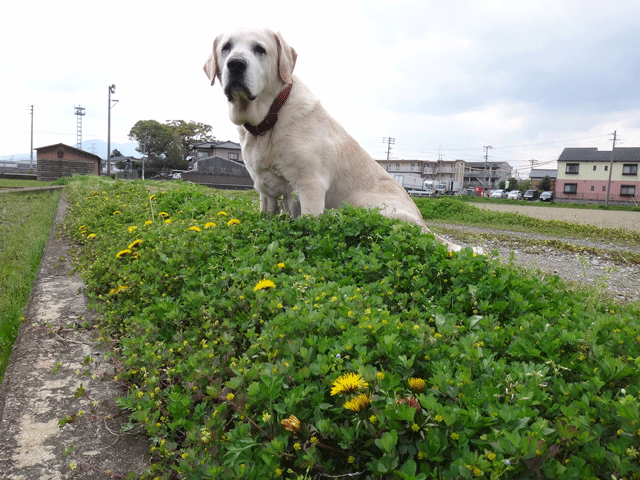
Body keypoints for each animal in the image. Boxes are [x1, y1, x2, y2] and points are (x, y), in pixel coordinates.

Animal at [202, 27, 468, 251]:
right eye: (226, 47)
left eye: (260, 49)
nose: (236, 64)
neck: (269, 118)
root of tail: (427, 228)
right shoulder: (264, 190)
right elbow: (266, 214)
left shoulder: (311, 184)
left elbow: (308, 223)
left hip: (366, 206)